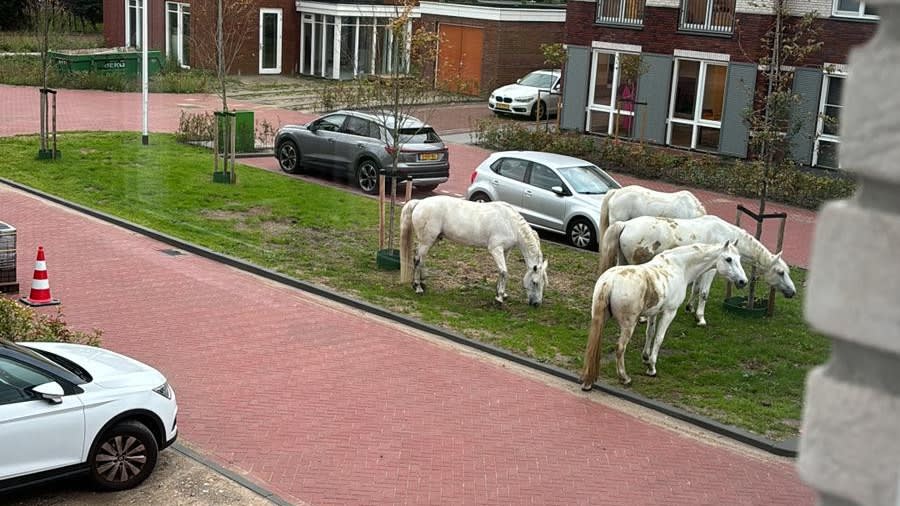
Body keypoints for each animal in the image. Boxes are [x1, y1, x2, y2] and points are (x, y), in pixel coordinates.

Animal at [400, 196, 548, 306]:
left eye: (543, 284)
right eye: (535, 282)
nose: (536, 304)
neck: (510, 223)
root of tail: (420, 202)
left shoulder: (505, 251)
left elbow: (502, 271)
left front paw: (501, 293)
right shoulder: (495, 249)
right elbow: (504, 272)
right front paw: (499, 298)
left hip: (432, 240)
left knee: (421, 259)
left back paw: (422, 283)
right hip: (427, 241)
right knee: (418, 259)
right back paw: (418, 287)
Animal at [580, 241, 748, 388]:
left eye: (739, 259)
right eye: (728, 259)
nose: (743, 281)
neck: (680, 267)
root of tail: (609, 281)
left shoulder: (653, 313)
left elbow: (650, 333)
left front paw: (646, 357)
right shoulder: (669, 312)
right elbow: (659, 338)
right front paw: (651, 367)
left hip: (599, 319)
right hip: (629, 324)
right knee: (620, 347)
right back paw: (624, 377)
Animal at [600, 214, 800, 326]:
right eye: (781, 272)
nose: (793, 292)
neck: (724, 233)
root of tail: (625, 224)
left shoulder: (700, 269)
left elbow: (696, 288)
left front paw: (690, 308)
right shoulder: (711, 270)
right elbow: (704, 292)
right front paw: (700, 317)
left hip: (623, 261)